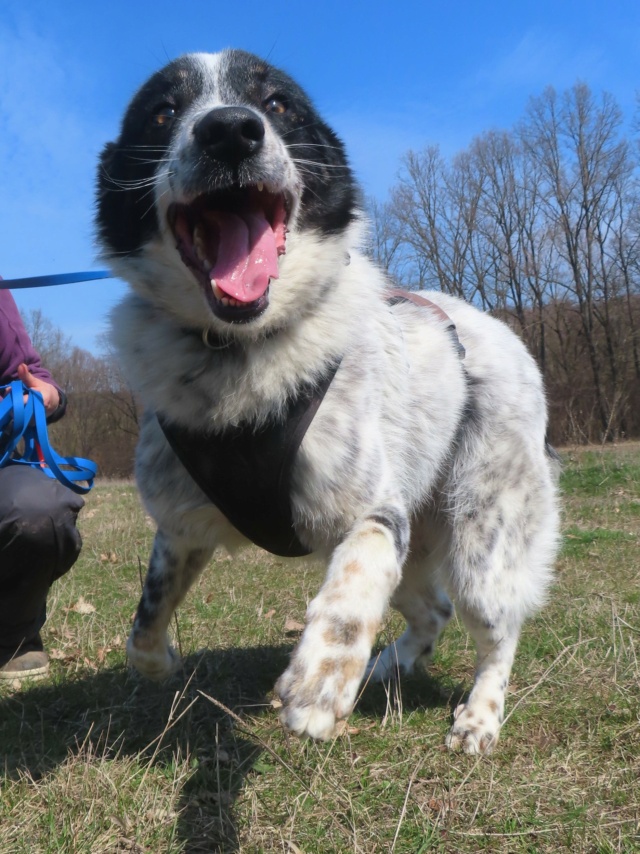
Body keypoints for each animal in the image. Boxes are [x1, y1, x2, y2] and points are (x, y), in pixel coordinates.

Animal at [96, 50, 560, 752]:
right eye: (162, 111)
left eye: (278, 104)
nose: (229, 131)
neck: (241, 355)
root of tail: (502, 330)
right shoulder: (181, 526)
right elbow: (145, 625)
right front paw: (164, 662)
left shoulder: (373, 510)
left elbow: (352, 588)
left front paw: (320, 681)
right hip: (422, 543)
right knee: (431, 610)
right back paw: (387, 666)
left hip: (481, 539)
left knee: (495, 630)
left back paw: (478, 715)